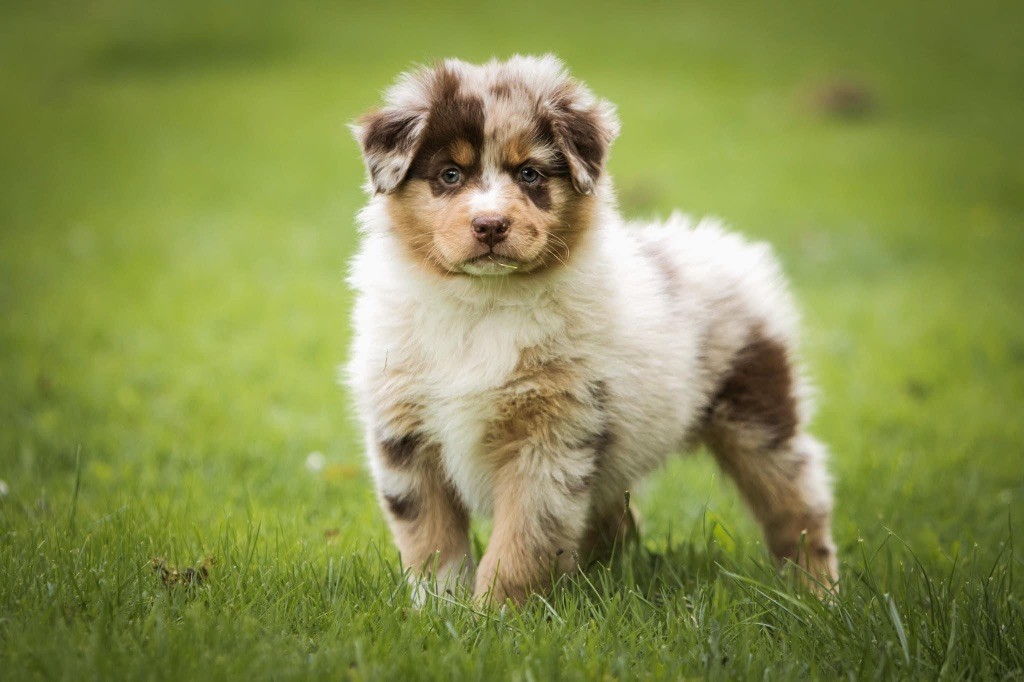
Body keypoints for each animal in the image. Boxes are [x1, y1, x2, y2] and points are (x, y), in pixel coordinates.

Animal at [348, 55, 835, 602]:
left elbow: (520, 544)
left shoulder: (552, 436)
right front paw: (439, 611)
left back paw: (818, 594)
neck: (483, 304)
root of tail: (719, 244)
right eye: (449, 174)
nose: (490, 225)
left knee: (799, 507)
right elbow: (431, 543)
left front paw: (494, 614)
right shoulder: (405, 436)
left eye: (531, 173)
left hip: (760, 415)